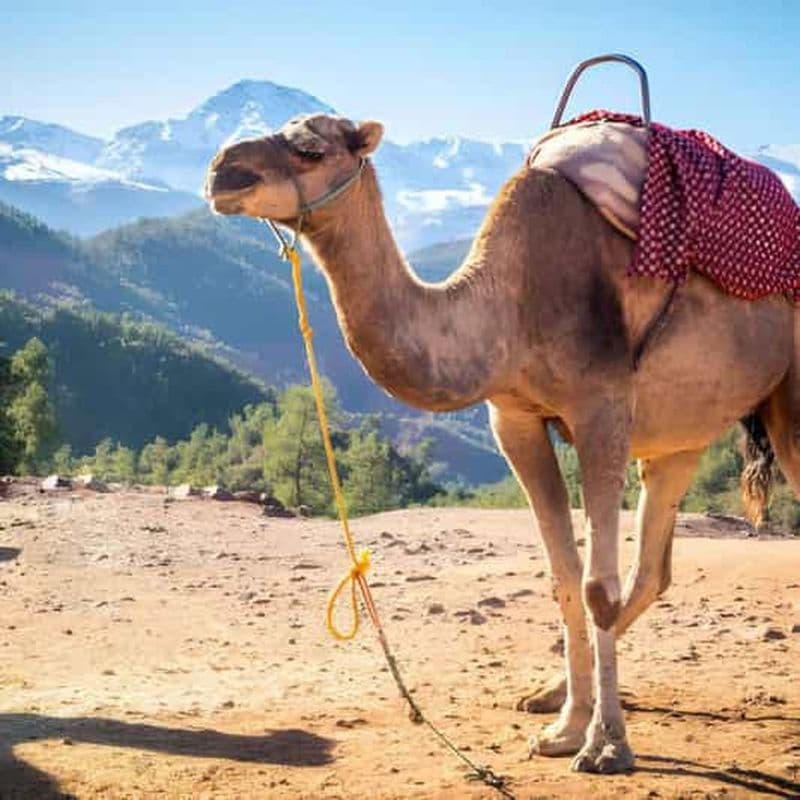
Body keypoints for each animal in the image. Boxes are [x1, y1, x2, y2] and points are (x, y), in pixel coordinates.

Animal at [204, 113, 798, 774]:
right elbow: (565, 576)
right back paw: (555, 692)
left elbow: (596, 586)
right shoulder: (512, 418)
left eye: (310, 149)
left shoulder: (602, 407)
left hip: (784, 395)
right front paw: (565, 728)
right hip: (681, 432)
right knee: (652, 570)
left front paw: (606, 745)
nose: (222, 171)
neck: (509, 308)